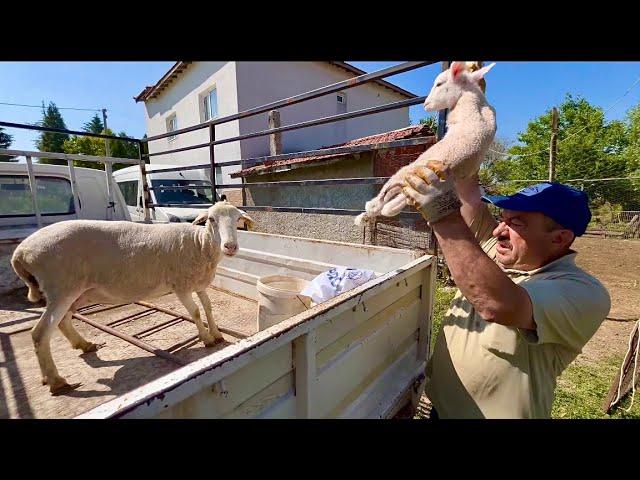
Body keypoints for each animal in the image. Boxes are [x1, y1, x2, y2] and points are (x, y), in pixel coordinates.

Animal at [10, 199, 255, 394]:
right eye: (211, 219)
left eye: (237, 219)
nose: (230, 246)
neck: (200, 244)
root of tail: (21, 252)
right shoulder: (181, 285)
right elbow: (195, 312)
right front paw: (207, 339)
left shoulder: (198, 284)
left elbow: (208, 307)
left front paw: (217, 333)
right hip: (61, 288)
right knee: (40, 333)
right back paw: (56, 381)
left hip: (73, 292)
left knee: (63, 321)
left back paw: (83, 345)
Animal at [356, 60, 496, 225]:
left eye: (439, 84)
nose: (426, 104)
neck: (475, 99)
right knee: (398, 200)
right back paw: (379, 212)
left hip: (405, 172)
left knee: (386, 196)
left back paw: (367, 212)